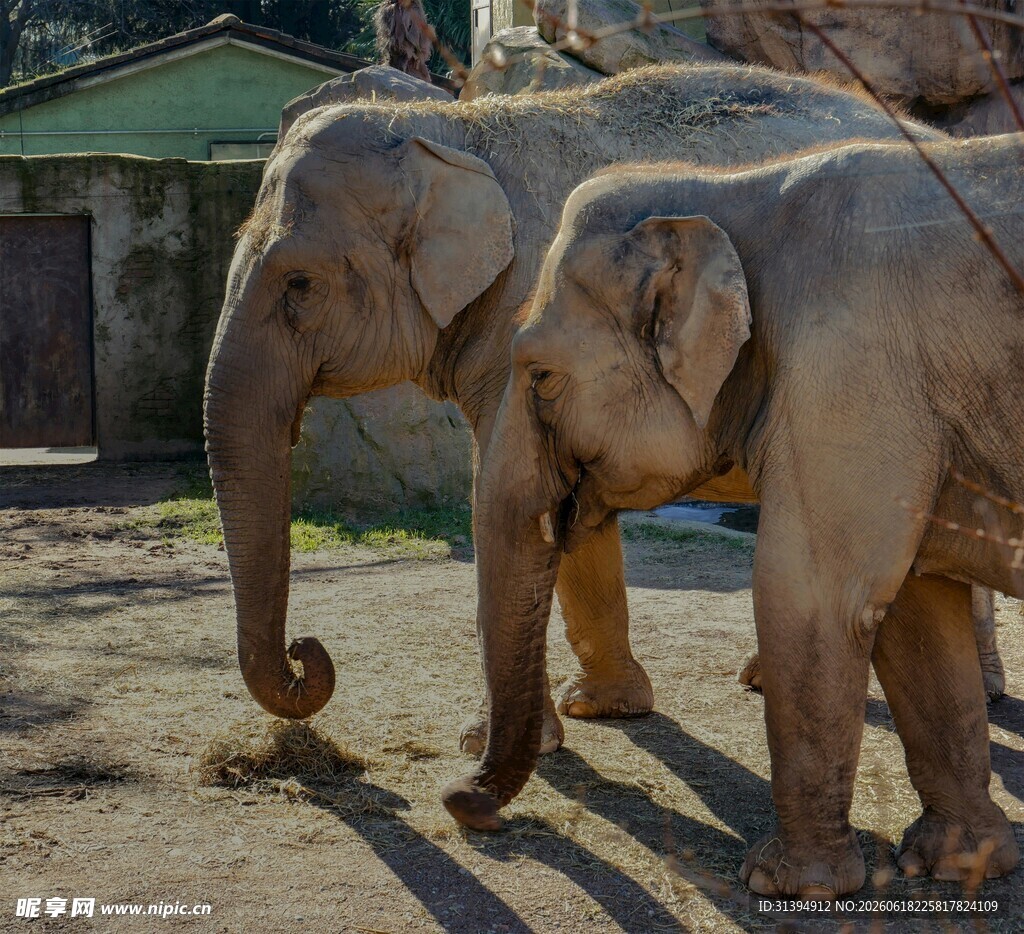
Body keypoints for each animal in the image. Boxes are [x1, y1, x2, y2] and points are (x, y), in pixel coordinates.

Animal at [203, 61, 989, 752]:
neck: (455, 131)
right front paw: (603, 709)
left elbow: (517, 503)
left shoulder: (529, 327)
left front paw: (495, 743)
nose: (307, 653)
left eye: (299, 283)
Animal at [442, 133, 1024, 897]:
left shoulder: (847, 374)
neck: (732, 188)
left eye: (539, 376)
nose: (463, 801)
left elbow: (812, 597)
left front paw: (787, 886)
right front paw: (955, 866)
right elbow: (916, 610)